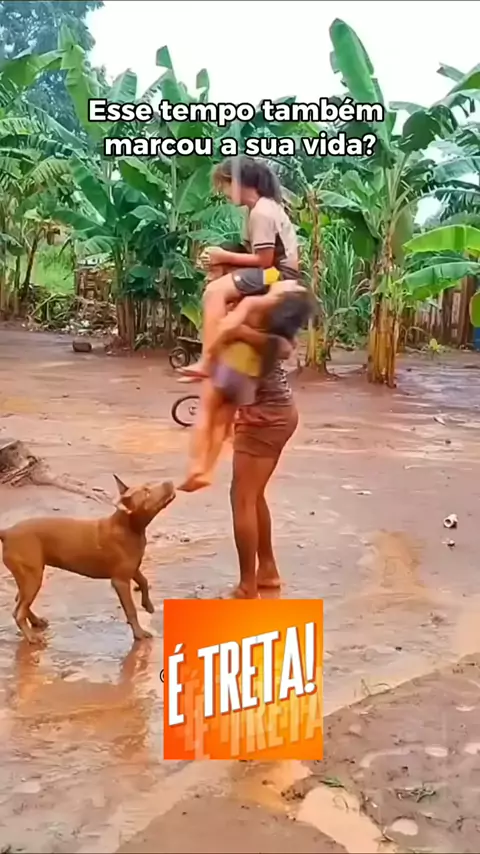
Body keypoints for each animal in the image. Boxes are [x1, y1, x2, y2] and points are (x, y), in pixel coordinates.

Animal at [0, 475, 176, 644]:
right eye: (147, 493)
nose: (169, 481)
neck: (128, 526)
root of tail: (7, 532)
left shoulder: (133, 568)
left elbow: (144, 581)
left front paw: (148, 606)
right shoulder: (120, 581)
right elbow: (131, 609)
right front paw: (139, 634)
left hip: (28, 575)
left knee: (19, 600)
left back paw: (36, 622)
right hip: (32, 577)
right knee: (18, 611)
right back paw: (32, 637)